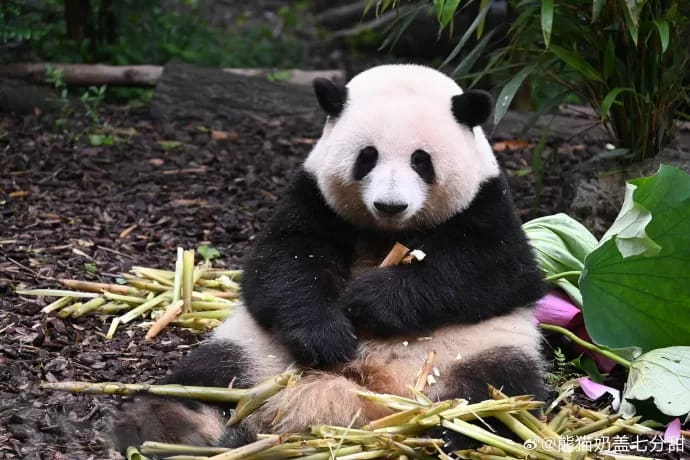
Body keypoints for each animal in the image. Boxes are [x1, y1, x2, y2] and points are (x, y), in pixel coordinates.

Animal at [111, 64, 546, 451]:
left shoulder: (487, 202)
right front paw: (327, 335)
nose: (391, 205)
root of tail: (365, 395)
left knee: (497, 395)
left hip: (473, 353)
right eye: (367, 156)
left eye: (421, 160)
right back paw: (165, 424)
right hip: (255, 354)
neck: (386, 233)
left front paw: (369, 301)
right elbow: (281, 263)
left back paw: (440, 436)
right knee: (207, 376)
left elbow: (497, 272)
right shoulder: (312, 195)